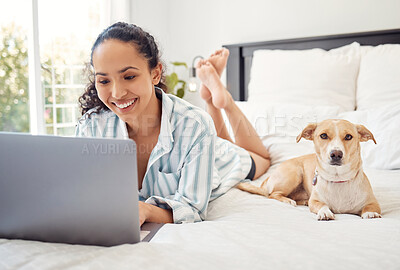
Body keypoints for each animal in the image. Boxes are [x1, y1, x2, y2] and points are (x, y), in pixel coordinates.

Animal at [238, 119, 382, 220]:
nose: (336, 154)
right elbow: (321, 205)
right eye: (323, 136)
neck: (338, 179)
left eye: (348, 137)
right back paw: (288, 200)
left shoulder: (373, 201)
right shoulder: (316, 201)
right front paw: (325, 212)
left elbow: (371, 207)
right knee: (273, 194)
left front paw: (371, 213)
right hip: (294, 174)